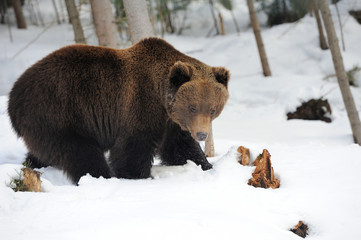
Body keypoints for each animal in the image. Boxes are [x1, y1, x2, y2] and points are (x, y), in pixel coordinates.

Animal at [7, 38, 228, 184]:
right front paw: (138, 176)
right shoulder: (139, 105)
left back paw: (30, 164)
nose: (202, 134)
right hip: (58, 113)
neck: (161, 96)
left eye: (213, 109)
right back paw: (100, 177)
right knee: (80, 153)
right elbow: (132, 148)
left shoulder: (171, 122)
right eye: (192, 107)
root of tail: (13, 97)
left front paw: (206, 165)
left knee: (43, 151)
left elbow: (180, 147)